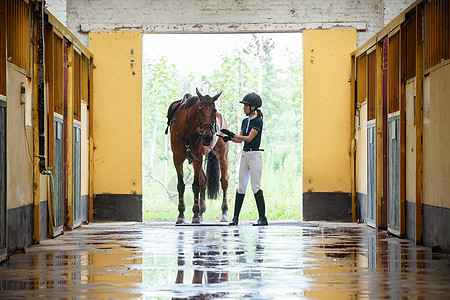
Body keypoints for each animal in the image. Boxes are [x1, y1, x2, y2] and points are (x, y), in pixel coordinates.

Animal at [165, 88, 230, 224]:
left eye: (214, 110)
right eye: (199, 110)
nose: (208, 137)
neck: (187, 130)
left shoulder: (197, 158)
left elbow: (196, 185)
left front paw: (195, 213)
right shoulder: (177, 159)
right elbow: (181, 185)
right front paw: (181, 214)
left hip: (222, 155)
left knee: (224, 181)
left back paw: (224, 212)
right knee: (203, 180)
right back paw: (201, 211)